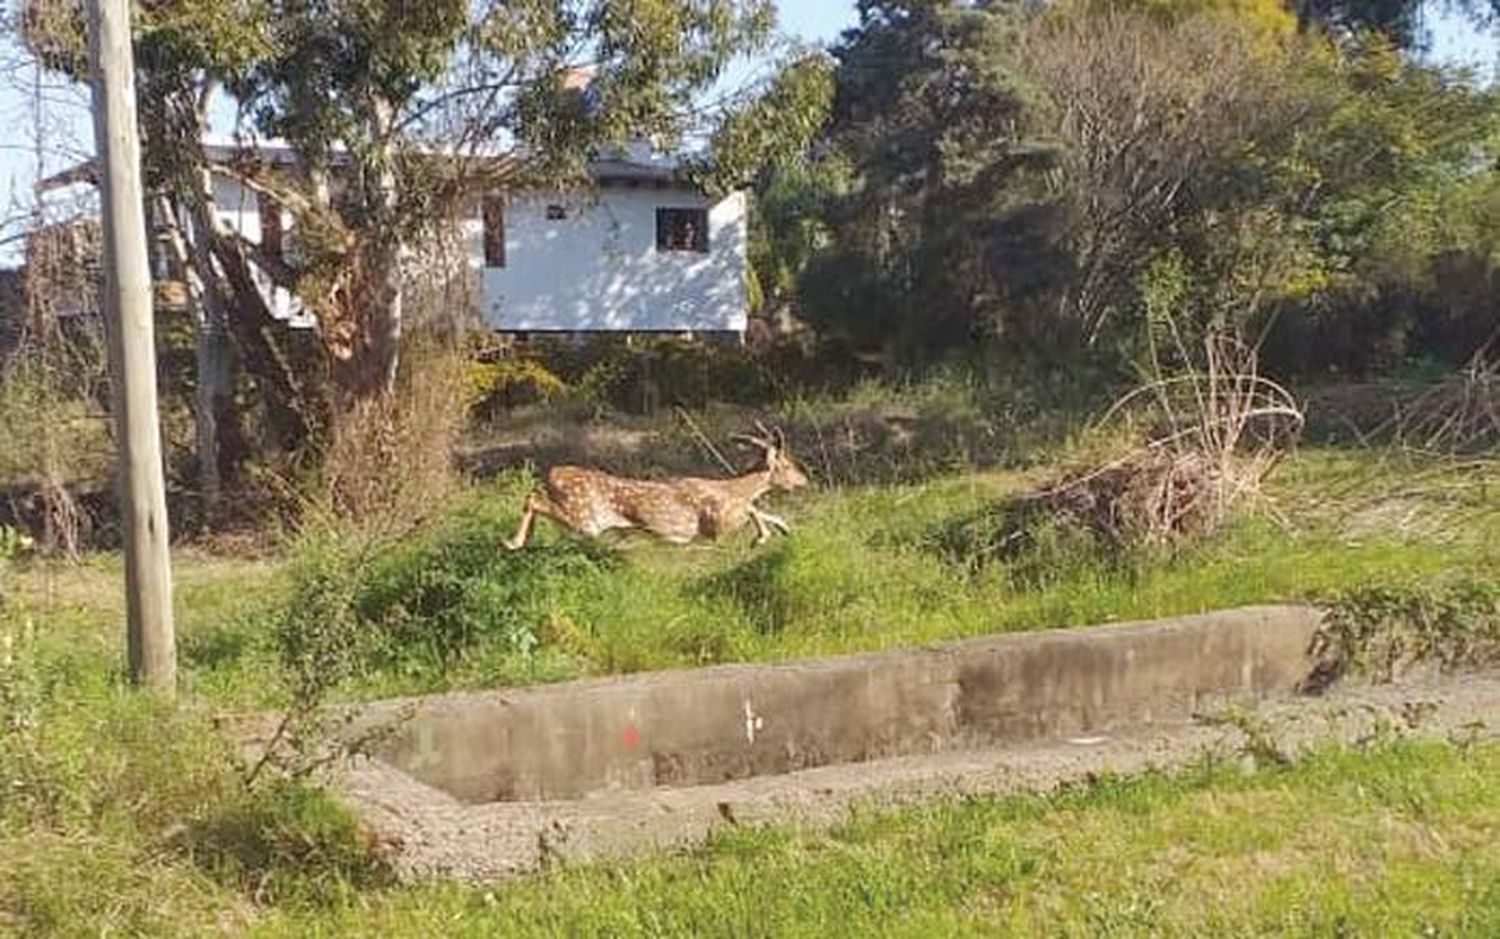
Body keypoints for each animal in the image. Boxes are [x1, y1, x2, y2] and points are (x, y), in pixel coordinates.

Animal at [504, 423, 810, 549]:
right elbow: (751, 510)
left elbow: (756, 509)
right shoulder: (716, 525)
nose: (804, 479)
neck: (734, 488)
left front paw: (783, 528)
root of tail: (552, 473)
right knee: (533, 498)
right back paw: (513, 541)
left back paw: (520, 541)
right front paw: (762, 537)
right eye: (787, 464)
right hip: (585, 518)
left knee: (533, 497)